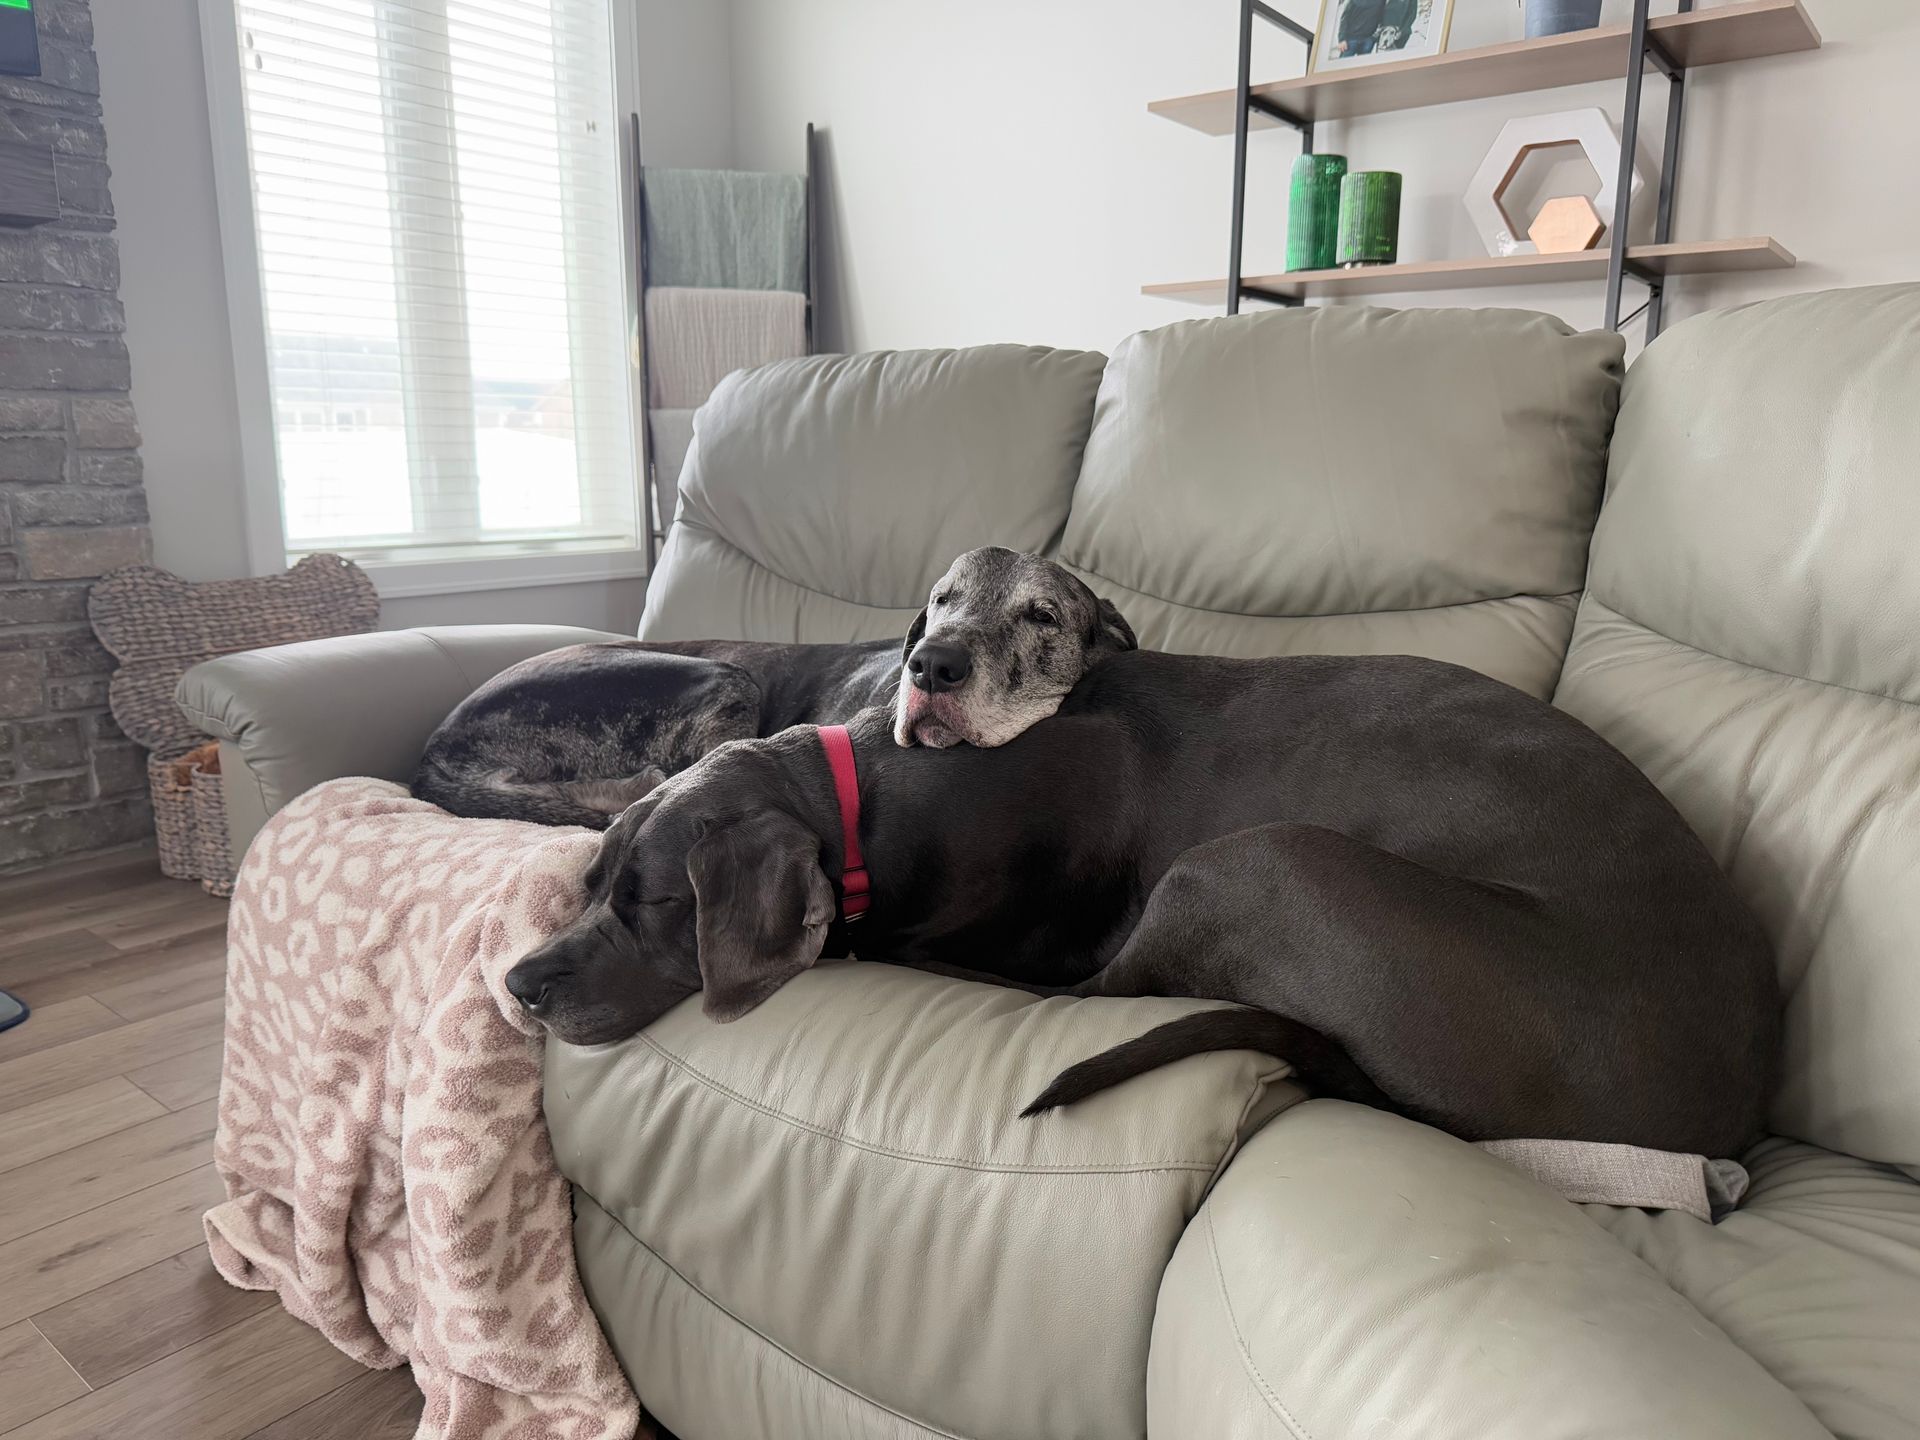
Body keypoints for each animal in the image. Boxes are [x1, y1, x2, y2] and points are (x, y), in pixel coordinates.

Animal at [503, 652, 1774, 1159]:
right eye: (590, 882)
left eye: (650, 904)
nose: (517, 983)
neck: (860, 801)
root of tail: (1723, 1111)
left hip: (1249, 859)